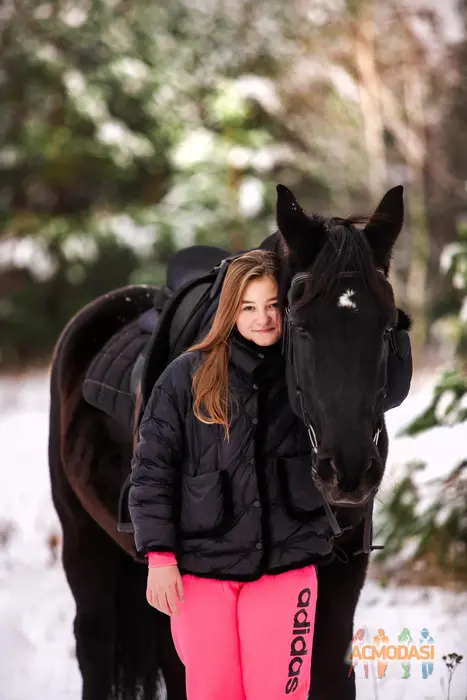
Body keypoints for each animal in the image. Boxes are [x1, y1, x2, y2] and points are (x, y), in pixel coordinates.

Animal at [48, 182, 410, 700]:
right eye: (301, 326)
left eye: (387, 327)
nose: (349, 471)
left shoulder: (340, 581)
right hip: (83, 541)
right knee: (95, 642)